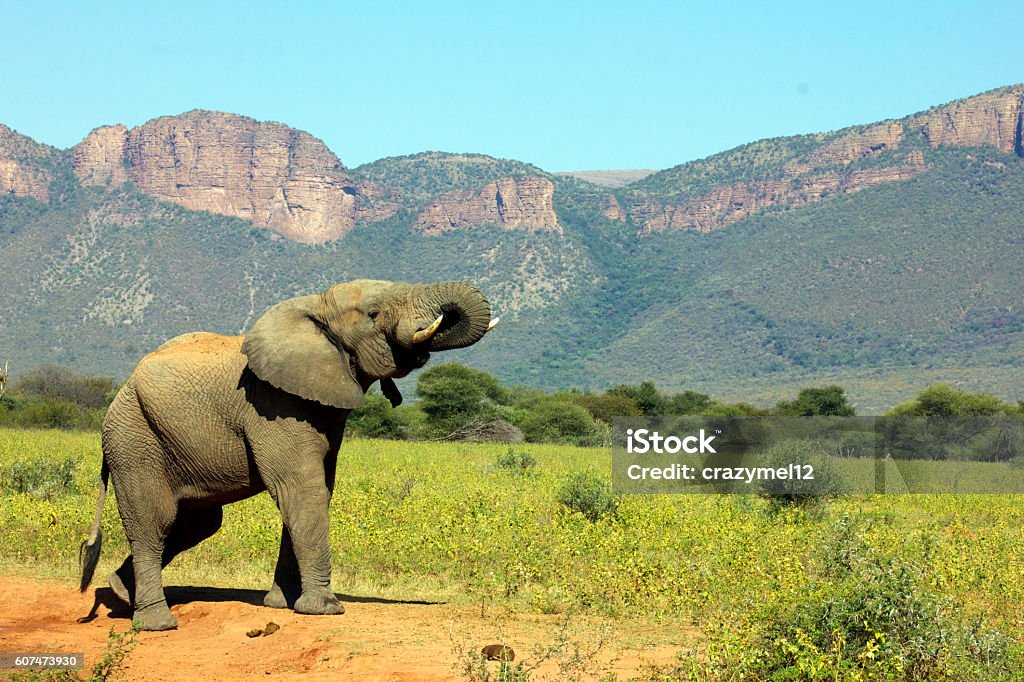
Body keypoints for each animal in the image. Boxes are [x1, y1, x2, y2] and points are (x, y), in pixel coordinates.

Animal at [77, 276, 497, 626]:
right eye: (374, 313)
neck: (316, 307)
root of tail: (121, 392)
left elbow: (318, 491)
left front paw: (282, 604)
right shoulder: (274, 402)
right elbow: (300, 489)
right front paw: (324, 609)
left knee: (197, 522)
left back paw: (121, 593)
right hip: (133, 436)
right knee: (156, 521)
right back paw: (156, 623)